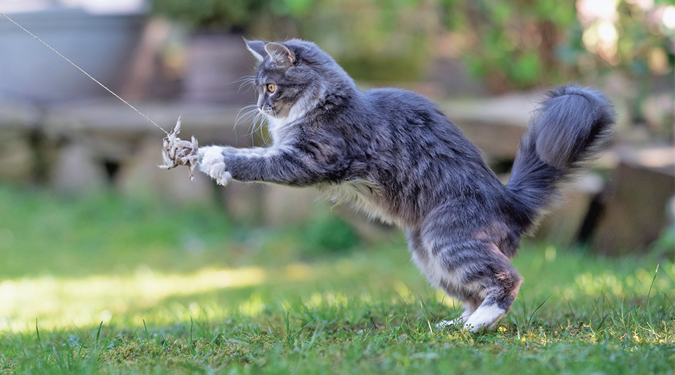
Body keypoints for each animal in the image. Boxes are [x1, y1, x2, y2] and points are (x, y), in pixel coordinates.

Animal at [162, 39, 612, 332]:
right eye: (259, 88)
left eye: (271, 86)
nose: (259, 105)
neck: (325, 104)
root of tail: (510, 198)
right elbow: (260, 154)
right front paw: (204, 159)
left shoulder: (314, 158)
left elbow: (257, 161)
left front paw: (215, 158)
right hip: (424, 250)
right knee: (472, 291)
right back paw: (457, 324)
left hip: (446, 237)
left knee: (507, 280)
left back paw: (479, 324)